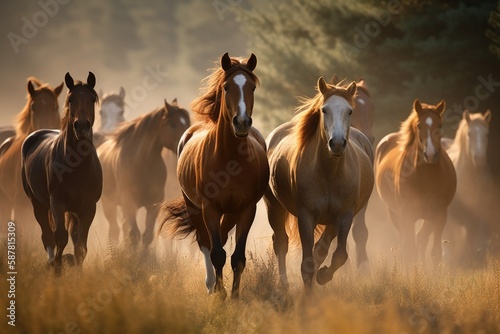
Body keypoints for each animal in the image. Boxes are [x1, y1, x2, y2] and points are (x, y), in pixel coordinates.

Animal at [20, 72, 102, 272]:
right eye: (71, 99)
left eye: (92, 98)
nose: (82, 126)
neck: (77, 166)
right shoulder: (57, 202)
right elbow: (60, 237)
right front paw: (57, 268)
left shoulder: (89, 207)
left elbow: (80, 246)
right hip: (37, 204)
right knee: (47, 235)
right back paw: (51, 263)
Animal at [97, 98, 189, 248]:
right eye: (173, 124)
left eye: (187, 121)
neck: (142, 163)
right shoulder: (129, 203)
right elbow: (134, 234)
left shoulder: (153, 204)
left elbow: (147, 236)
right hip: (109, 204)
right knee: (115, 230)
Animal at [160, 52, 270, 298]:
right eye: (227, 87)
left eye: (252, 87)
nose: (242, 122)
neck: (229, 159)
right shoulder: (208, 207)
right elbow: (216, 252)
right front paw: (220, 294)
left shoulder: (246, 209)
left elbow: (237, 257)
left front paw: (235, 296)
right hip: (193, 206)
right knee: (205, 242)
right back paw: (211, 284)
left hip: (229, 213)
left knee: (221, 236)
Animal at [376, 98, 458, 266]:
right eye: (419, 125)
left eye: (440, 125)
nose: (431, 155)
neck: (425, 177)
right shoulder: (407, 215)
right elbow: (410, 251)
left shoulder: (440, 215)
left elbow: (435, 253)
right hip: (395, 214)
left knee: (421, 239)